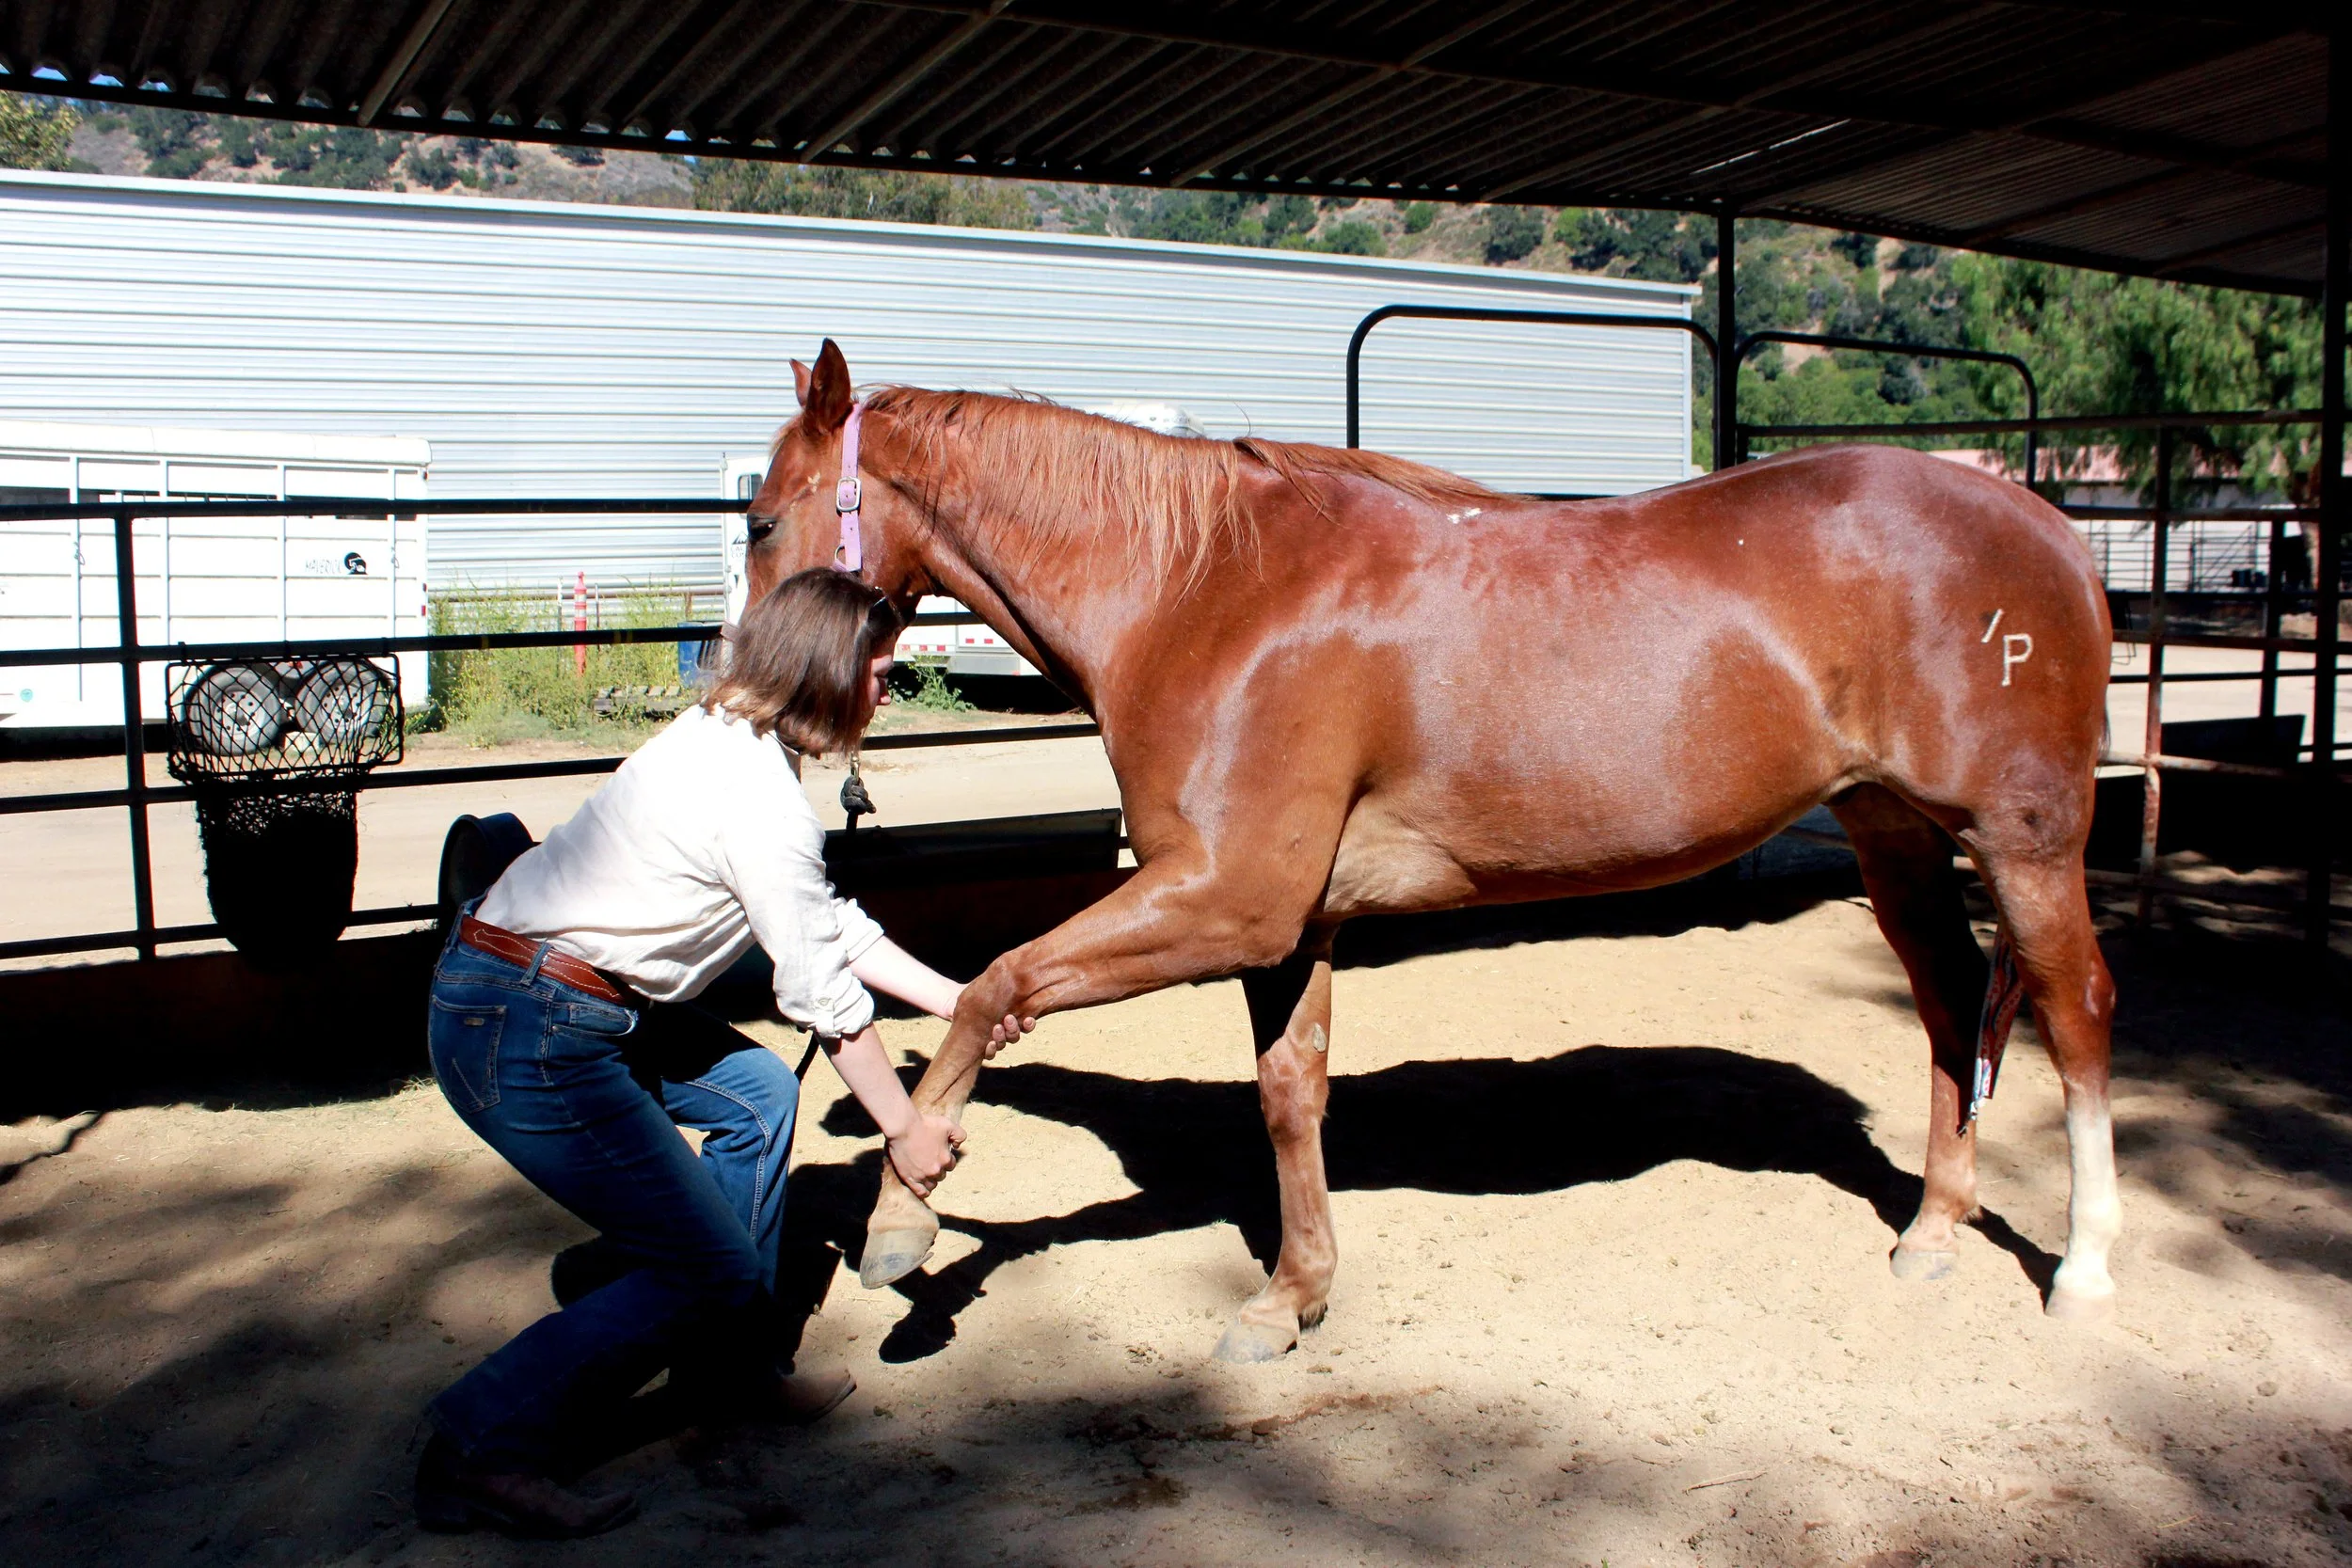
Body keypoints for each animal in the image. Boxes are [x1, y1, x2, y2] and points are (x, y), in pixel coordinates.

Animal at [746, 339, 2120, 1363]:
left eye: (760, 519)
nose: (749, 696)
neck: (1206, 590)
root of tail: (2051, 530)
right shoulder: (1287, 923)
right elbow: (1287, 1091)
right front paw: (1288, 1297)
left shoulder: (1228, 898)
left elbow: (996, 988)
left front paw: (904, 1214)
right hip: (1894, 834)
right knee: (1950, 1005)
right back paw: (1933, 1230)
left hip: (2023, 841)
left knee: (2075, 1011)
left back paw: (2087, 1265)